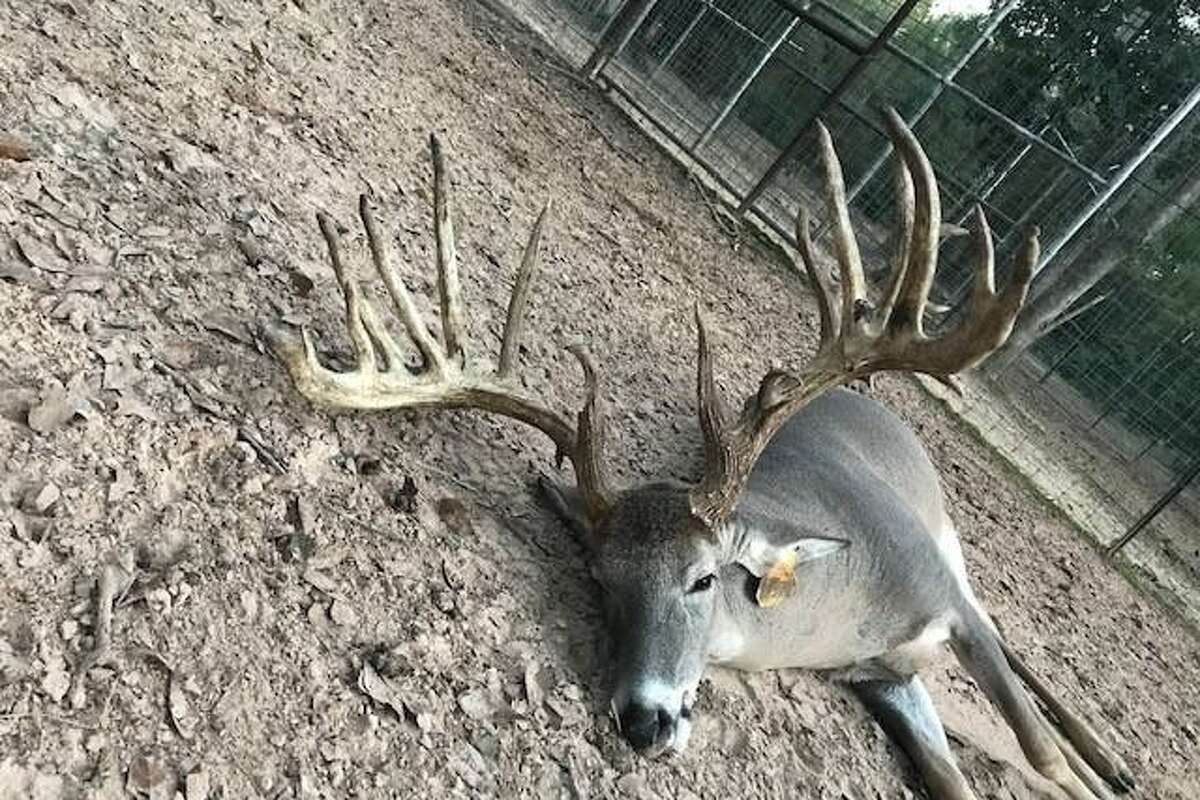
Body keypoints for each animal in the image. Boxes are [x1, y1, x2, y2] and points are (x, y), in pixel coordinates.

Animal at [263, 110, 1135, 800]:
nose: (643, 720)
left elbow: (1041, 754)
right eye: (599, 578)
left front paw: (1089, 772)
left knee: (1019, 654)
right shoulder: (883, 675)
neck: (833, 613)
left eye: (703, 578)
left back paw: (1117, 762)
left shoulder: (938, 592)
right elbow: (958, 779)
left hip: (951, 544)